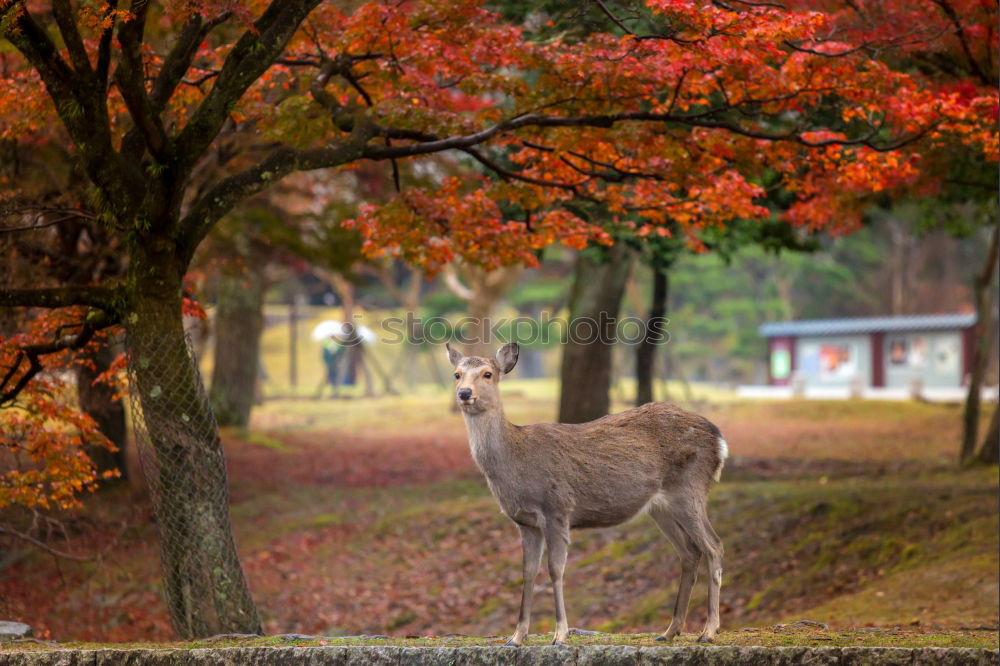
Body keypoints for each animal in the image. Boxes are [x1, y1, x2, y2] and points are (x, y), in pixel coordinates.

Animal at [446, 342, 728, 644]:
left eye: (487, 374)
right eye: (457, 374)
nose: (464, 393)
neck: (515, 461)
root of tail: (719, 440)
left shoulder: (557, 508)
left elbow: (555, 569)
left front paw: (560, 634)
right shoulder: (525, 522)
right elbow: (528, 572)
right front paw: (516, 636)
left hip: (690, 488)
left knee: (713, 546)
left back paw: (709, 631)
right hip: (661, 507)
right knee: (689, 552)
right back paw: (670, 630)